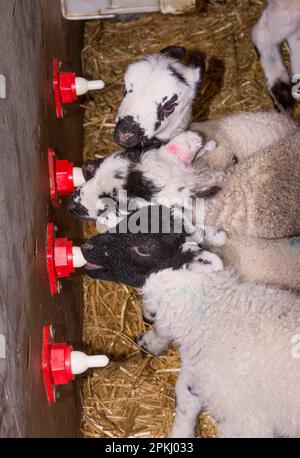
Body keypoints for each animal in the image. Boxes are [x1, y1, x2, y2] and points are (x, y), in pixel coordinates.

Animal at [80, 207, 300, 436]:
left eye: (143, 249)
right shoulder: (194, 370)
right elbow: (184, 398)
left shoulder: (245, 422)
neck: (215, 314)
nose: (86, 247)